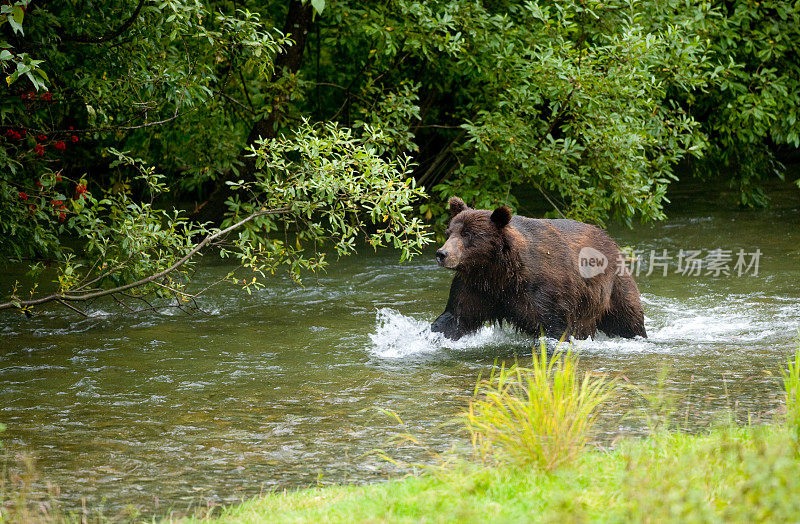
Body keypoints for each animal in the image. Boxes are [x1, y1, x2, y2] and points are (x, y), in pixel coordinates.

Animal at [432, 196, 644, 340]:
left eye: (468, 234)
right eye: (449, 232)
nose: (442, 254)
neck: (497, 271)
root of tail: (609, 240)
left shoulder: (542, 290)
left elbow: (553, 326)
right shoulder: (476, 286)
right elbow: (455, 316)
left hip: (612, 288)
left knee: (628, 318)